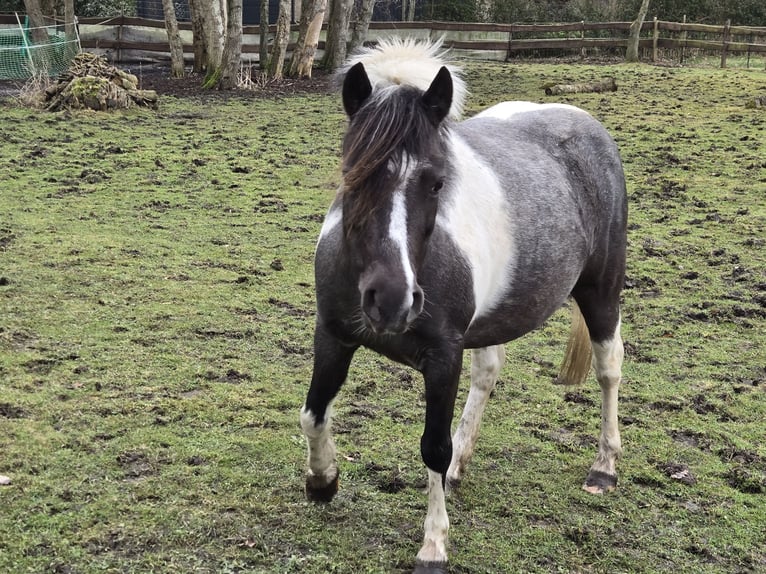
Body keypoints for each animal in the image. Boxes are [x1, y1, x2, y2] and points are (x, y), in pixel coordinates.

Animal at [299, 38, 627, 573]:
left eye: (436, 183)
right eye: (352, 173)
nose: (392, 300)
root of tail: (583, 121)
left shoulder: (443, 355)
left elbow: (432, 445)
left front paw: (433, 544)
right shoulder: (332, 335)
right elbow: (314, 414)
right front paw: (323, 482)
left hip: (600, 291)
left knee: (609, 368)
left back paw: (604, 467)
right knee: (489, 373)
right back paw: (459, 468)